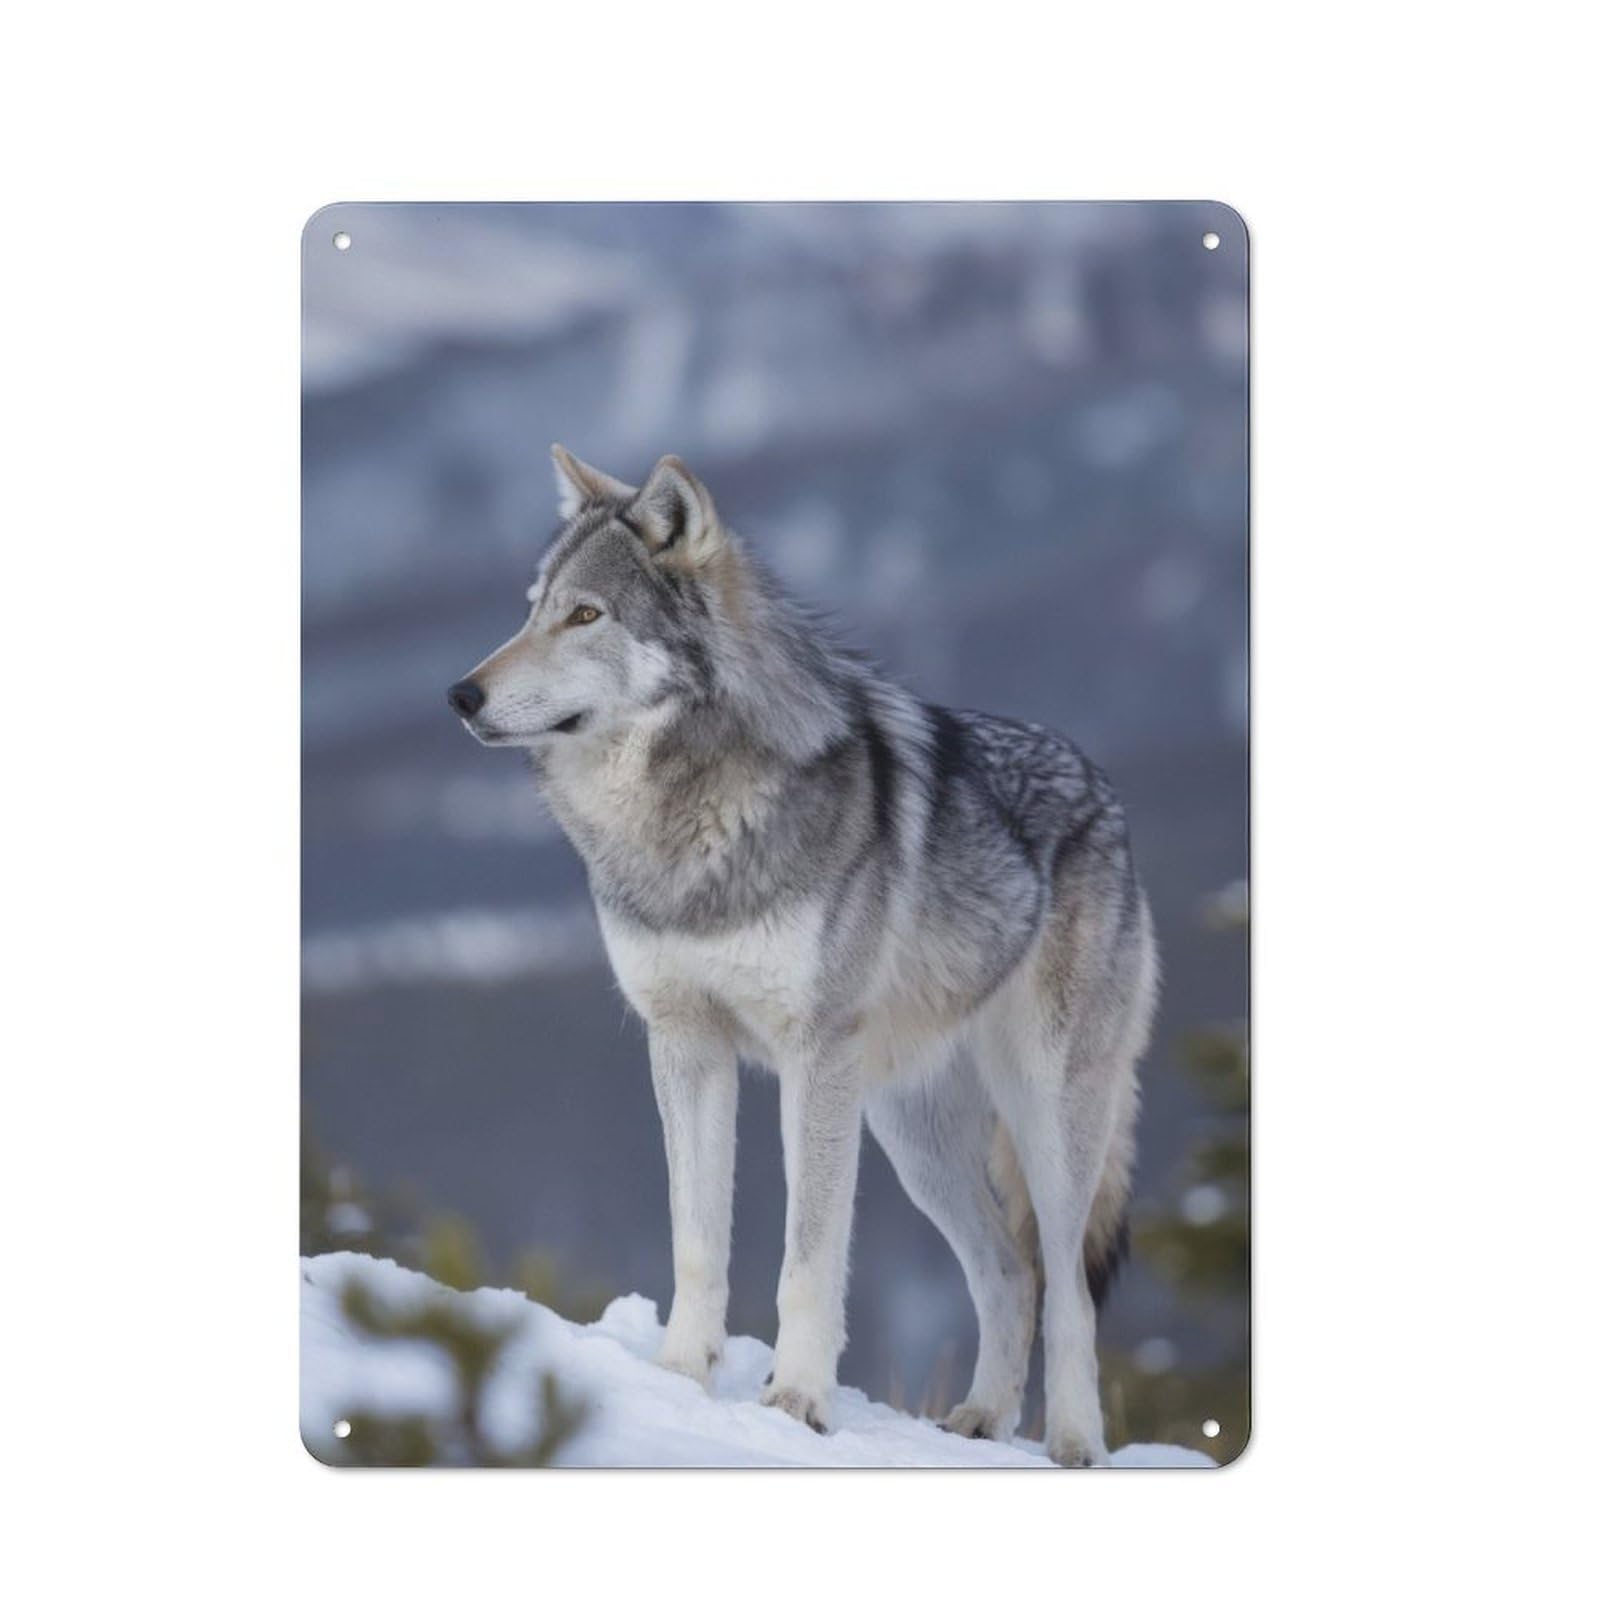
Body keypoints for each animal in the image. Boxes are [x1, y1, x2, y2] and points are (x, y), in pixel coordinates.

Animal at [447, 447, 1157, 1466]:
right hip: (910, 1136)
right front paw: (676, 1380)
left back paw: (1072, 1444)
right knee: (1007, 1273)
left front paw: (797, 1403)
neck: (685, 828)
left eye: (587, 615)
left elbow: (809, 1258)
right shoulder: (684, 1041)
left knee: (1065, 1287)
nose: (461, 695)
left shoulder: (812, 1057)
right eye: (533, 607)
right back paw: (981, 1420)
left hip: (1046, 1115)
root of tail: (1105, 787)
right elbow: (698, 1239)